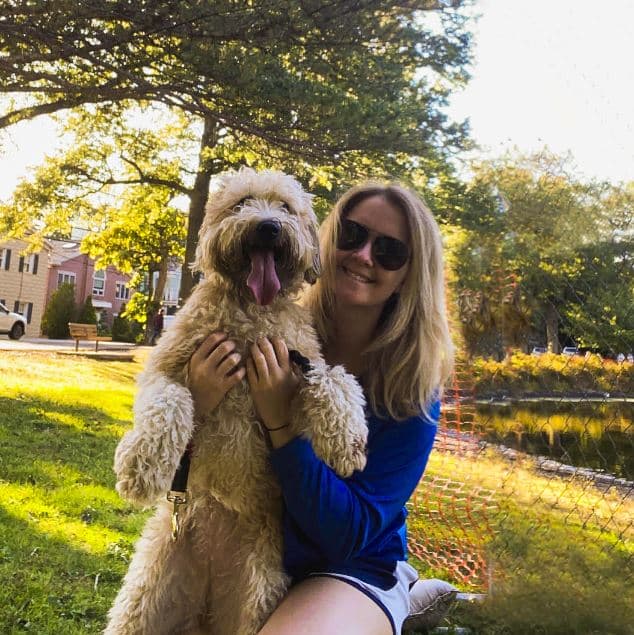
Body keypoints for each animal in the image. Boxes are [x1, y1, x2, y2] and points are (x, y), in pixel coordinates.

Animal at [107, 169, 368, 635]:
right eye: (242, 203)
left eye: (286, 207)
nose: (268, 226)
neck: (251, 312)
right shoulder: (167, 367)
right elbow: (169, 401)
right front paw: (141, 467)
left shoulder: (300, 366)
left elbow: (336, 379)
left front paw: (348, 442)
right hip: (145, 597)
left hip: (258, 595)